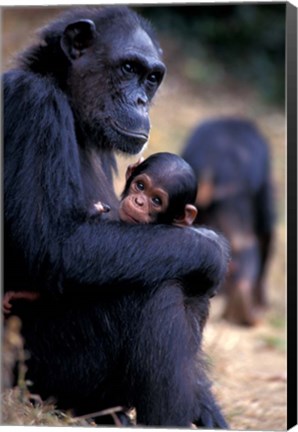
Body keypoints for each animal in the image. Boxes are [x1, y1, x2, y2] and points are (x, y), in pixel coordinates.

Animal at [3, 5, 229, 428]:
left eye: (152, 77)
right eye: (127, 68)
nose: (140, 100)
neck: (71, 105)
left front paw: (208, 408)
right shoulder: (33, 105)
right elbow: (58, 246)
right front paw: (213, 249)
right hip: (42, 373)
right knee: (159, 287)